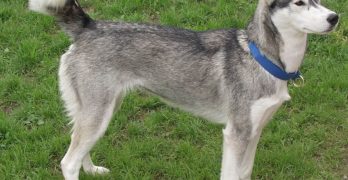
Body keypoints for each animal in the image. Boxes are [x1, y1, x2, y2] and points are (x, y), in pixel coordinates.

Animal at [28, 0, 338, 179]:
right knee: (68, 162)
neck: (262, 56)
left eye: (319, 0)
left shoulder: (254, 131)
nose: (335, 17)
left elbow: (245, 172)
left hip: (101, 110)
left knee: (78, 145)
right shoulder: (235, 135)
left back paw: (92, 170)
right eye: (299, 2)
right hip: (99, 113)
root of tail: (89, 26)